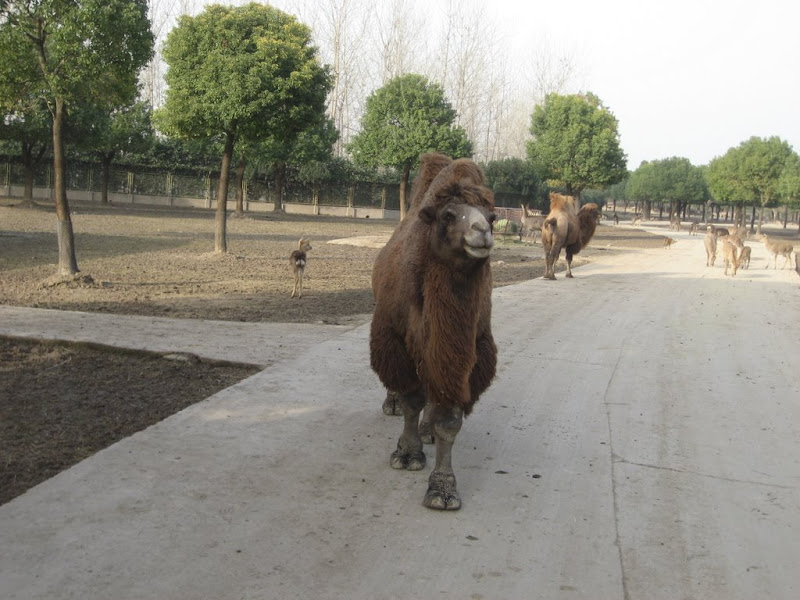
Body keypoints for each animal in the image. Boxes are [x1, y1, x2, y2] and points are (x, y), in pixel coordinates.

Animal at [370, 153, 497, 511]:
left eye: (493, 217)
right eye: (449, 214)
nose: (482, 231)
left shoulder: (467, 351)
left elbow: (448, 419)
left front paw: (443, 488)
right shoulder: (396, 337)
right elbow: (411, 399)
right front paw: (407, 453)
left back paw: (425, 430)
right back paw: (392, 405)